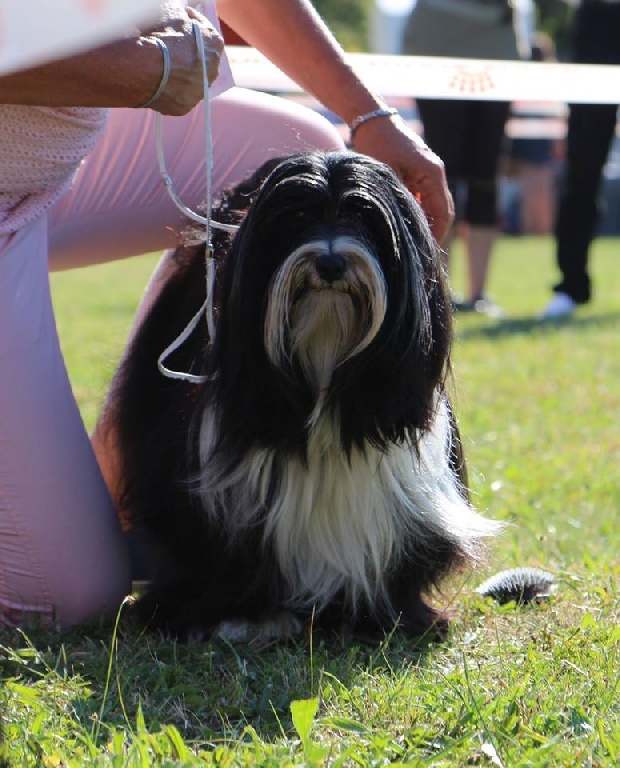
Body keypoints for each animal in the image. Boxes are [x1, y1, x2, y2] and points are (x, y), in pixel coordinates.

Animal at [111, 150, 498, 640]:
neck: (324, 369)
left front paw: (385, 616)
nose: (330, 264)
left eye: (365, 218)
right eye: (297, 218)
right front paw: (237, 615)